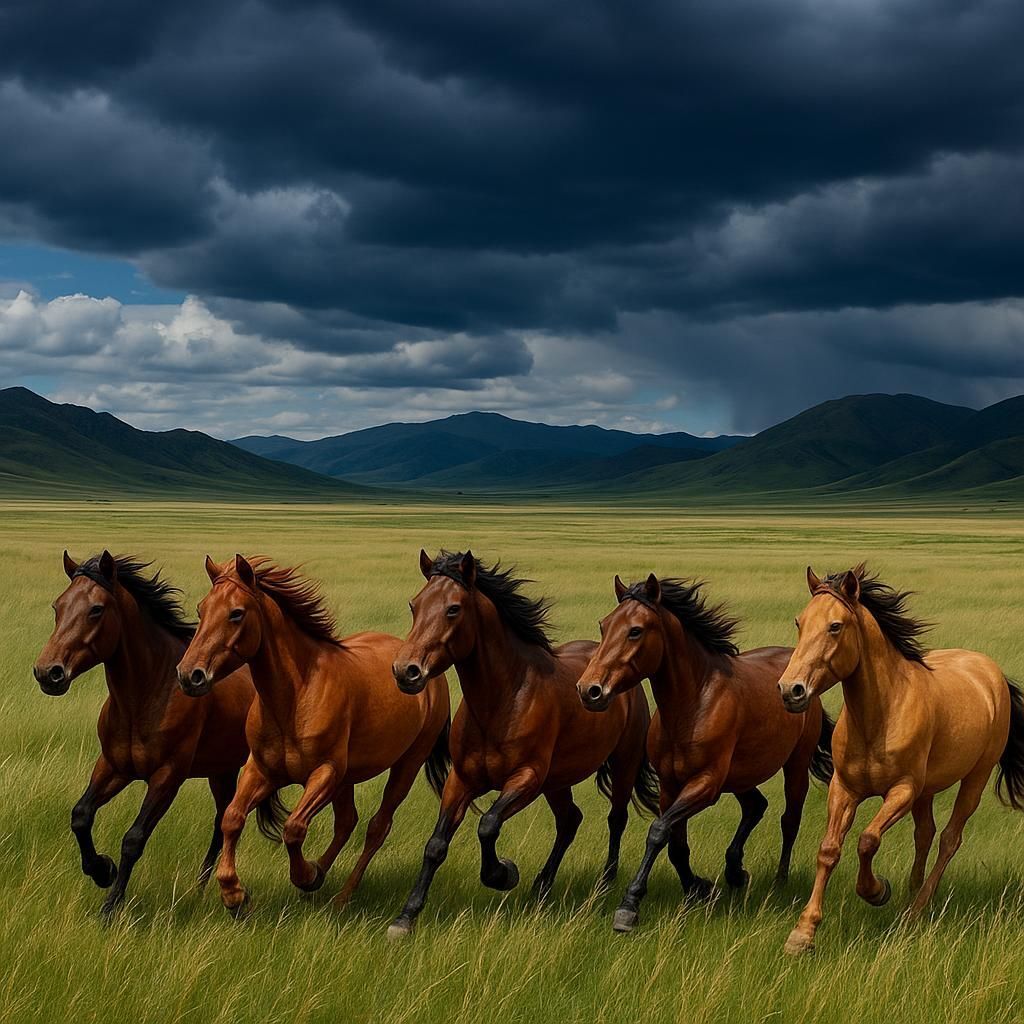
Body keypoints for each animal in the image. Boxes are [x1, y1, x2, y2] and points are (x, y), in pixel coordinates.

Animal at [32, 550, 258, 917]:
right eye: (58, 606)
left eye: (96, 609)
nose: (47, 672)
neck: (146, 695)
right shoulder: (114, 767)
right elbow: (80, 816)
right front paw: (102, 870)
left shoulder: (167, 777)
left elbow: (134, 838)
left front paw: (110, 906)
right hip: (221, 770)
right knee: (222, 817)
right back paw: (200, 888)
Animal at [176, 554, 451, 915]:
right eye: (201, 609)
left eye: (236, 613)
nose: (188, 675)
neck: (295, 697)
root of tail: (424, 669)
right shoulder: (261, 770)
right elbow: (232, 819)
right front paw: (234, 894)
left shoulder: (324, 774)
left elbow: (294, 828)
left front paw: (304, 875)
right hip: (349, 777)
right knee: (347, 821)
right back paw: (321, 874)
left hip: (407, 763)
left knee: (377, 827)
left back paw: (340, 895)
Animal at [387, 550, 659, 939]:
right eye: (415, 605)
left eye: (453, 609)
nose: (406, 671)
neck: (501, 701)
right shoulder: (461, 780)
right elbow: (436, 845)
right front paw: (405, 917)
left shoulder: (526, 779)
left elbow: (488, 825)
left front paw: (503, 873)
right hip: (558, 781)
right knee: (570, 820)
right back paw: (542, 885)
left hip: (623, 765)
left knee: (616, 818)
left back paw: (605, 884)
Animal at [577, 573, 833, 933]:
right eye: (604, 626)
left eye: (635, 630)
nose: (589, 690)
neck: (692, 704)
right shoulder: (671, 785)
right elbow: (675, 844)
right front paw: (698, 887)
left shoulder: (706, 784)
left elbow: (658, 832)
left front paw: (629, 906)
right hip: (741, 776)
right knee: (756, 806)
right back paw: (735, 872)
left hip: (794, 765)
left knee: (790, 819)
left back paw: (778, 882)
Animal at [779, 564, 1024, 956]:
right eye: (799, 622)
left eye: (835, 626)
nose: (791, 690)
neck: (879, 716)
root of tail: (991, 672)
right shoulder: (844, 788)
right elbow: (829, 849)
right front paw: (802, 933)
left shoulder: (902, 791)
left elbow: (867, 840)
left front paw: (876, 891)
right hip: (927, 791)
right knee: (925, 834)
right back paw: (911, 892)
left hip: (975, 778)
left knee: (949, 839)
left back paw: (916, 909)